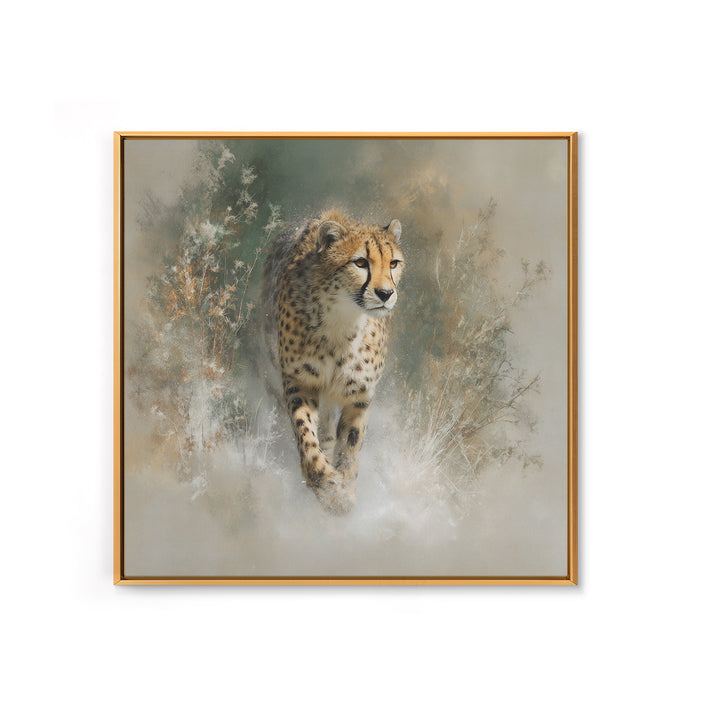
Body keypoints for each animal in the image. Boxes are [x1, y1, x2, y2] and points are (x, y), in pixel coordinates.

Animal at [261, 210, 405, 514]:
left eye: (393, 263)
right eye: (360, 262)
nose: (386, 294)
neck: (343, 320)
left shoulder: (360, 395)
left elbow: (351, 445)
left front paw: (345, 491)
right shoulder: (299, 381)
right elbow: (305, 433)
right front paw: (325, 481)